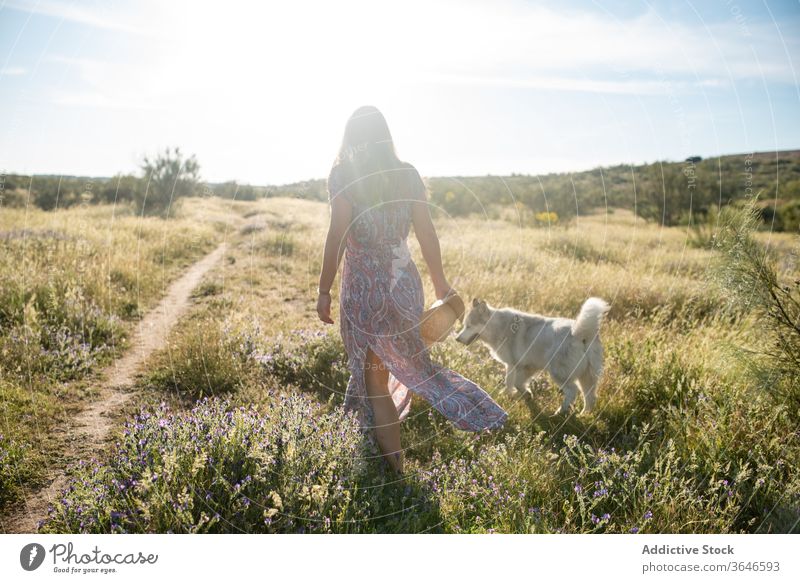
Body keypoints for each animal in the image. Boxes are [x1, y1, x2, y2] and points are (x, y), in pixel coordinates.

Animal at [456, 296, 612, 416]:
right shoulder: (528, 367)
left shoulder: (511, 365)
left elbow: (509, 382)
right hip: (587, 378)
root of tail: (580, 333)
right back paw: (584, 415)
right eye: (464, 325)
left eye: (469, 326)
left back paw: (559, 412)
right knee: (590, 397)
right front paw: (525, 394)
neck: (498, 327)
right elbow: (519, 383)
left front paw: (506, 395)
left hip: (559, 375)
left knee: (572, 392)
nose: (457, 339)